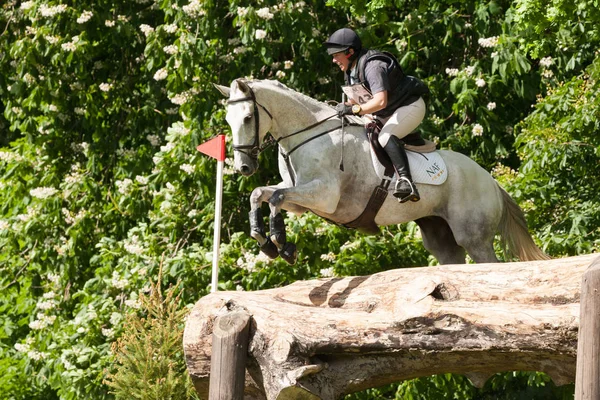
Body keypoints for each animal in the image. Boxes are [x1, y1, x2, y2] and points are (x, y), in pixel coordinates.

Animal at [214, 78, 548, 266]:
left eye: (247, 117)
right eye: (228, 120)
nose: (244, 167)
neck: (307, 133)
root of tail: (492, 182)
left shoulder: (324, 196)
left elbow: (275, 197)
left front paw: (282, 244)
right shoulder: (301, 198)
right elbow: (262, 193)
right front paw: (267, 242)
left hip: (474, 237)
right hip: (440, 237)